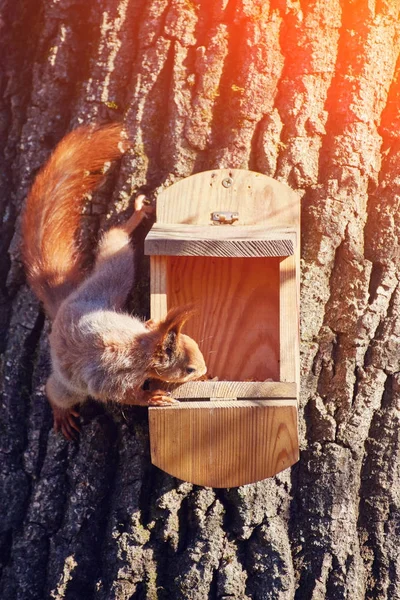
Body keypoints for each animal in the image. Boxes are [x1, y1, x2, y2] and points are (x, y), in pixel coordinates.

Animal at [22, 123, 206, 440]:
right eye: (189, 370)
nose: (207, 370)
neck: (143, 346)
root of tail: (65, 304)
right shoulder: (112, 376)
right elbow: (119, 394)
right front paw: (153, 397)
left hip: (108, 282)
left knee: (114, 241)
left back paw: (135, 217)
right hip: (72, 379)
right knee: (55, 390)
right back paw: (59, 410)